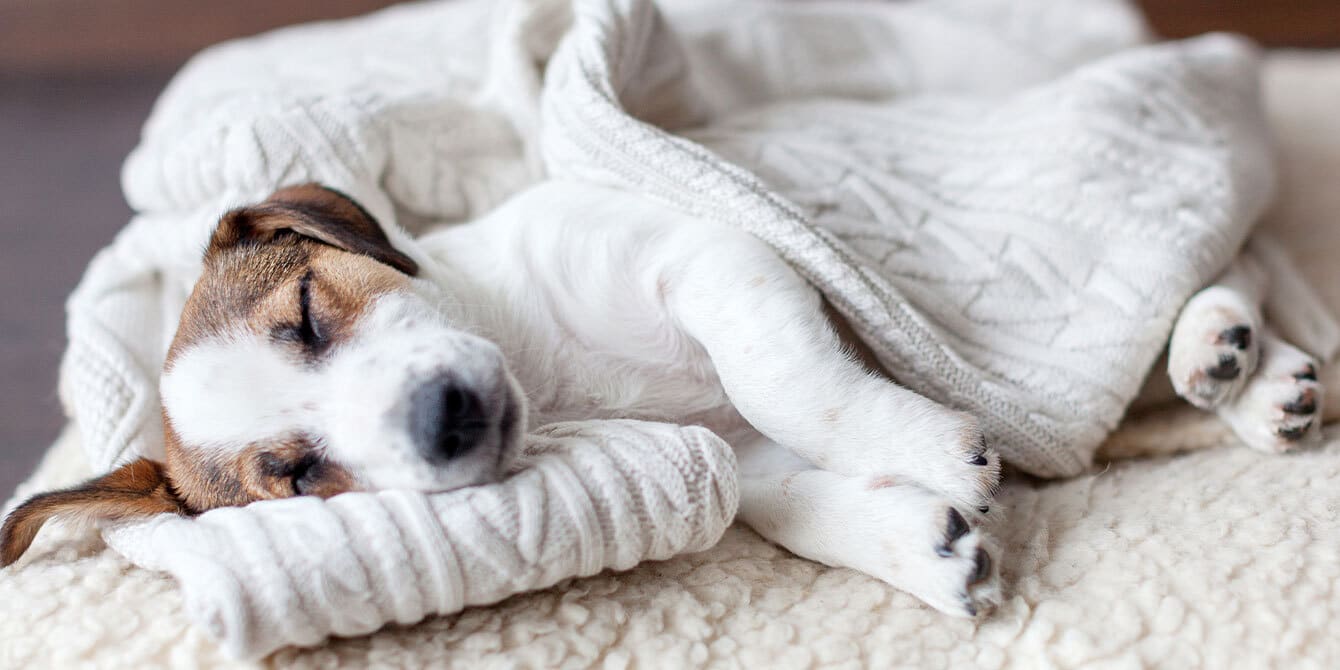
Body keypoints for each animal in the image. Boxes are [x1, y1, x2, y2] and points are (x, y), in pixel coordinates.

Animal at [0, 179, 1318, 616]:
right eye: (295, 475)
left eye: (312, 314)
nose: (443, 422)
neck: (544, 364)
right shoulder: (729, 442)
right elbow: (783, 496)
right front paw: (918, 539)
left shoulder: (716, 260)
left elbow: (792, 385)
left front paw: (927, 444)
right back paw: (1247, 379)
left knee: (1245, 258)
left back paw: (1224, 341)